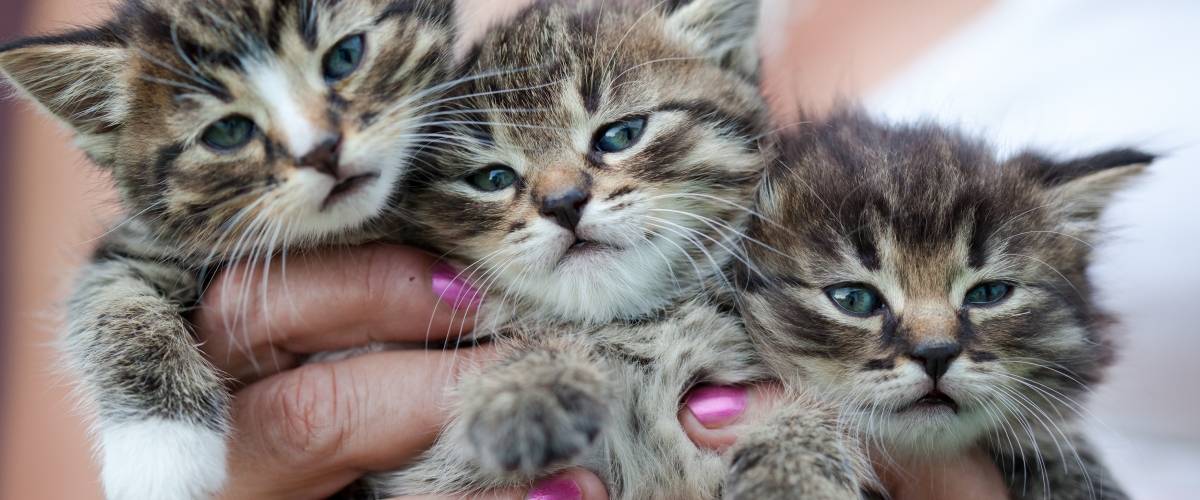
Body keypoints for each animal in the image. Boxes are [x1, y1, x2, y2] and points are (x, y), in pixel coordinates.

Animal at [0, 1, 456, 496]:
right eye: (229, 131)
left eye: (345, 56)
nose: (322, 151)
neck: (341, 234)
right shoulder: (137, 244)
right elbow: (112, 299)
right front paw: (161, 447)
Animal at [372, 0, 864, 496]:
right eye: (492, 178)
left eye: (620, 134)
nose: (562, 203)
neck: (643, 327)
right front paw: (525, 387)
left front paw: (792, 470)